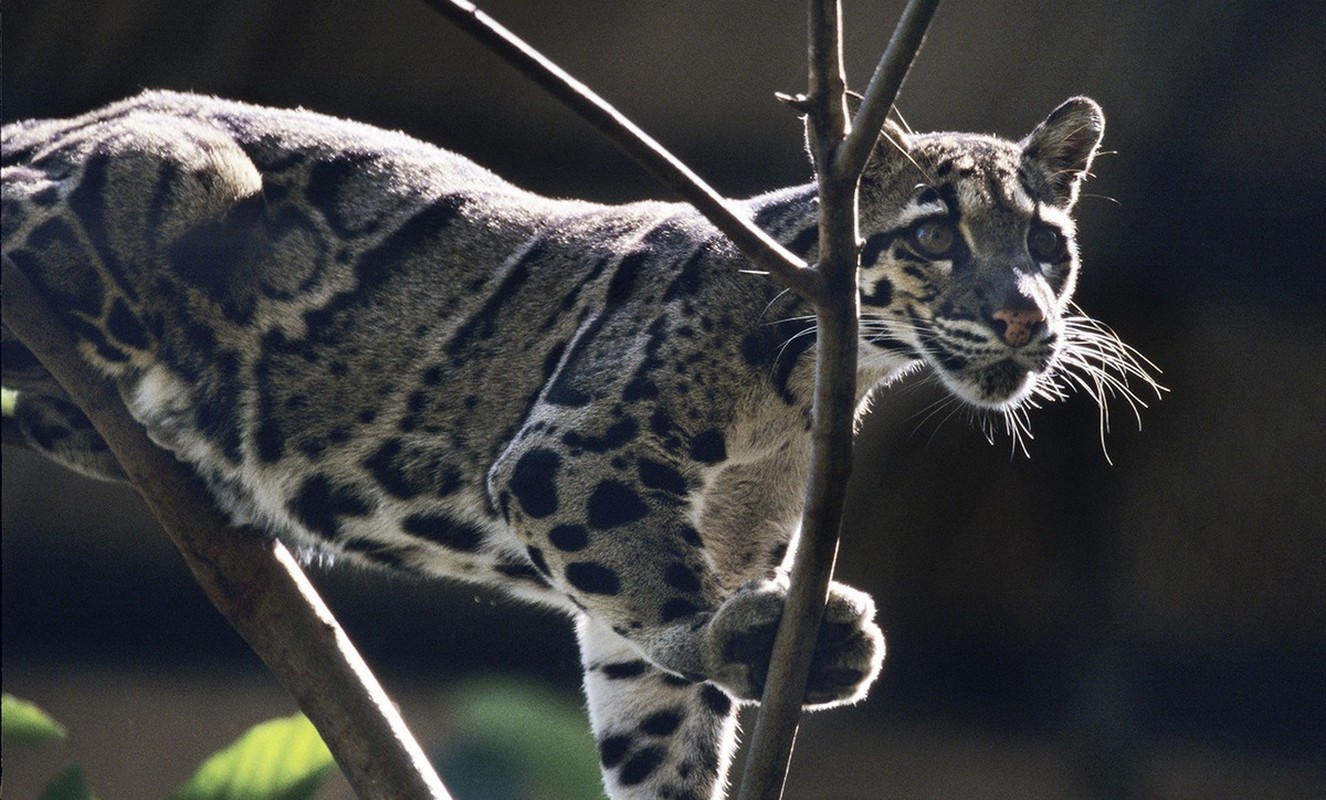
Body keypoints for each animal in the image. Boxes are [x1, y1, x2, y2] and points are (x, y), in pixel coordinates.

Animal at [0, 90, 1150, 796]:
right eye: (935, 234)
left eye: (1046, 244)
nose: (1024, 318)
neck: (820, 384)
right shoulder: (574, 452)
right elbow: (654, 597)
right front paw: (751, 637)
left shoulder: (717, 544)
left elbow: (654, 709)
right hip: (173, 174)